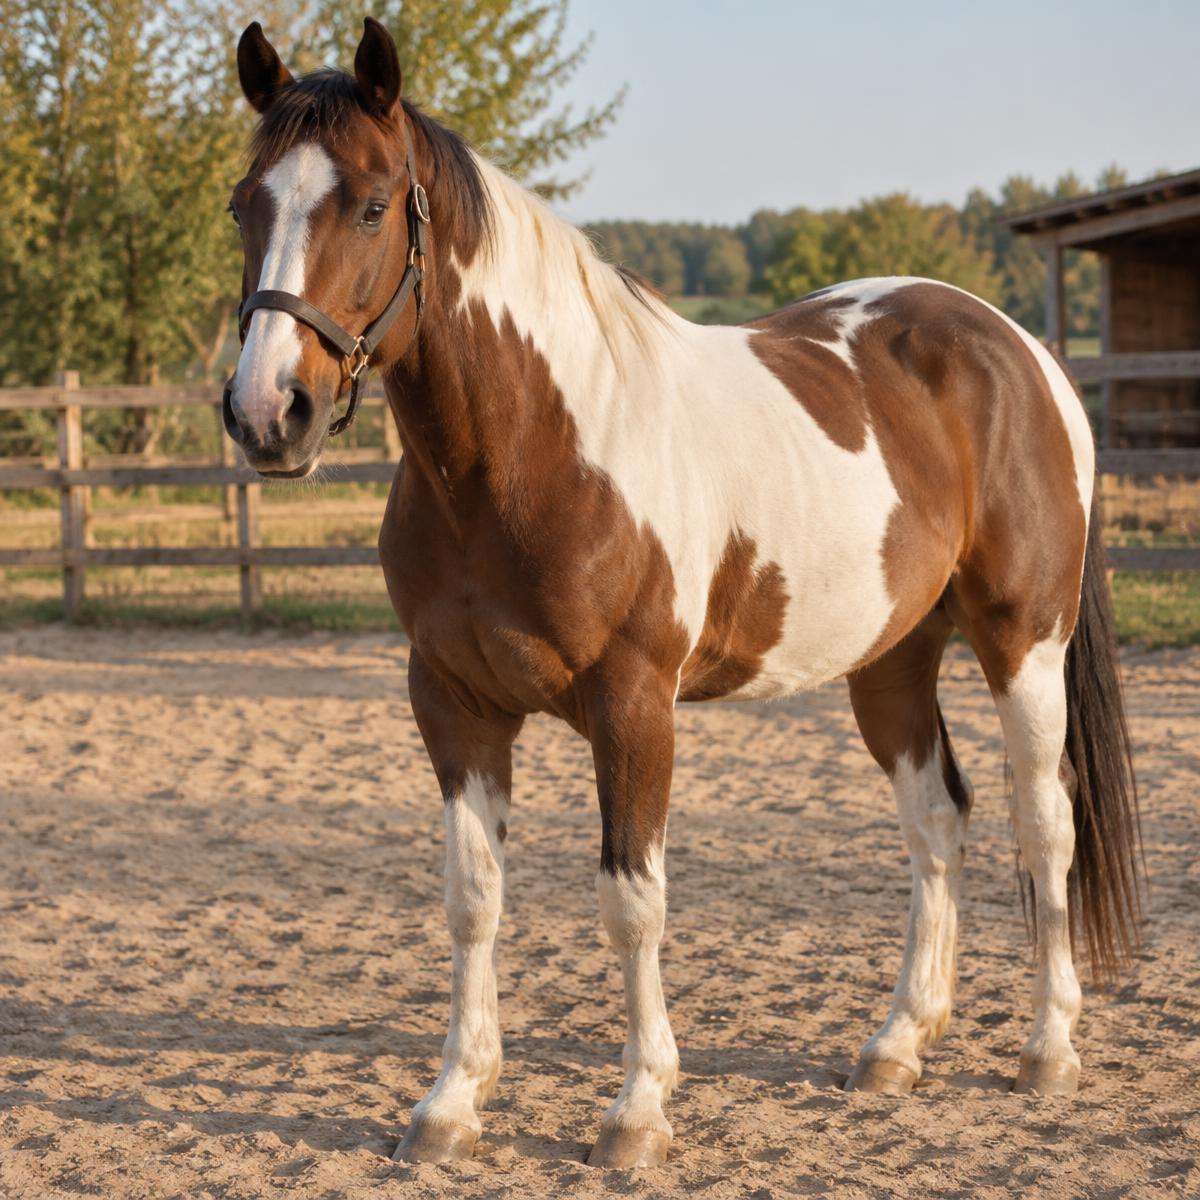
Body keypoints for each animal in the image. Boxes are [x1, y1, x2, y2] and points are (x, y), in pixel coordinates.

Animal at [224, 17, 1142, 1169]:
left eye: (374, 205)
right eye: (244, 204)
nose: (268, 413)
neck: (528, 453)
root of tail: (1019, 351)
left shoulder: (633, 706)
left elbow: (631, 903)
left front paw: (637, 1112)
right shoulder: (452, 705)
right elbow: (472, 900)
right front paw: (450, 1104)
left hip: (1025, 643)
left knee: (1044, 820)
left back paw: (1049, 1048)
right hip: (891, 660)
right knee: (938, 820)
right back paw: (898, 1045)